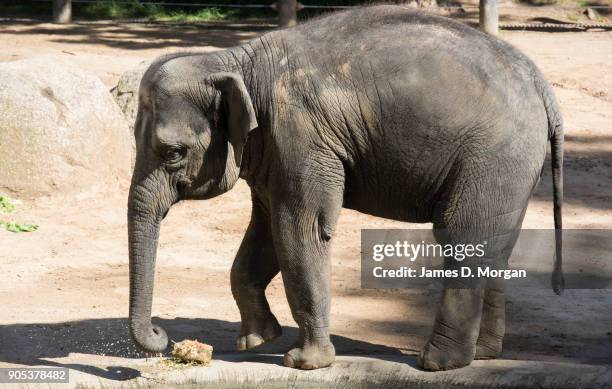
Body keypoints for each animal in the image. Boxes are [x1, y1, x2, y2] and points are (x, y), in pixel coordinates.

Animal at [128, 5, 564, 370]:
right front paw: (257, 341)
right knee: (495, 241)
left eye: (173, 154)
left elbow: (299, 229)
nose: (162, 335)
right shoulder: (273, 151)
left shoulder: (301, 136)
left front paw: (304, 362)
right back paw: (484, 354)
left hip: (493, 155)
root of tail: (542, 87)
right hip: (511, 167)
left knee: (461, 235)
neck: (235, 60)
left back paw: (437, 363)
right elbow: (265, 232)